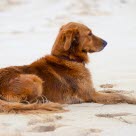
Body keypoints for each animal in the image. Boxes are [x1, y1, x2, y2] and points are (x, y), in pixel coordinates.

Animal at [0, 21, 136, 112]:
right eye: (90, 34)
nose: (106, 42)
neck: (68, 58)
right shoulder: (91, 94)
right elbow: (118, 96)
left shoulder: (92, 89)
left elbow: (114, 91)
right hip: (35, 79)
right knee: (27, 102)